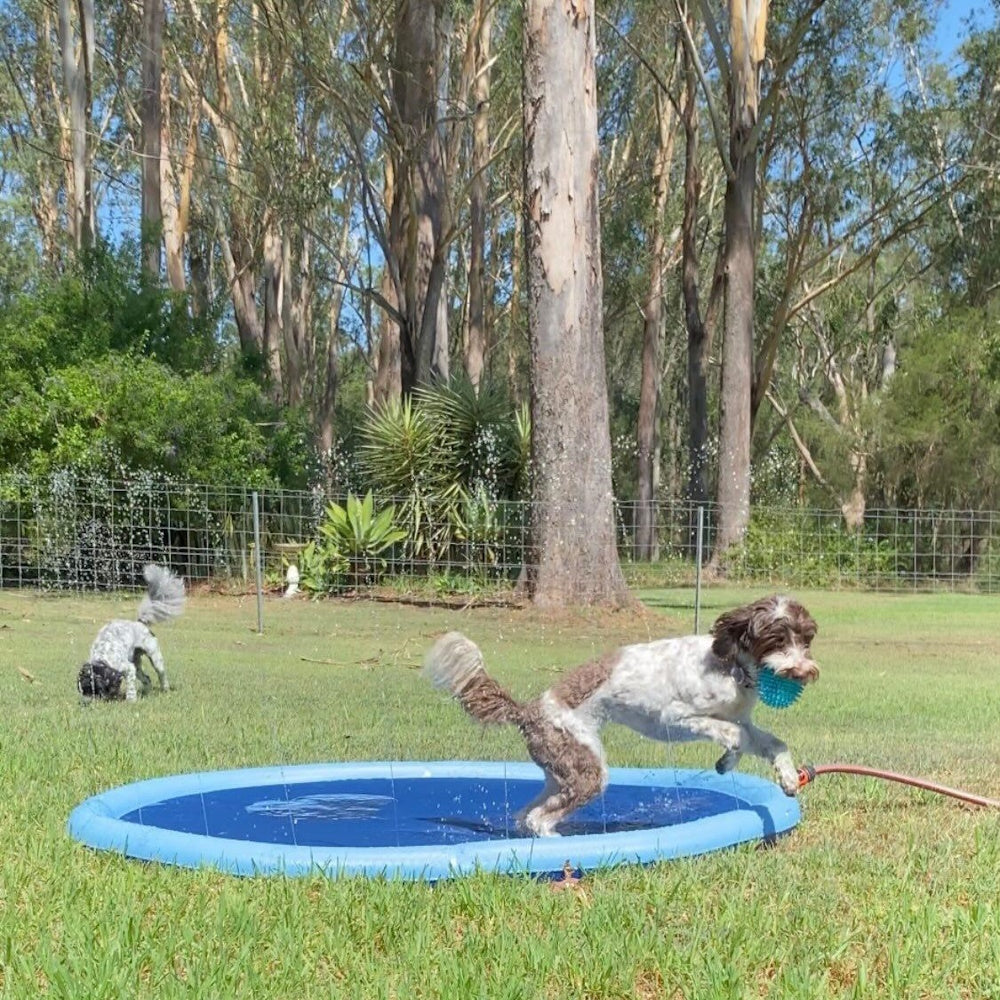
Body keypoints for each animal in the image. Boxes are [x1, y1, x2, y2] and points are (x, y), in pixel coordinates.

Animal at [79, 568, 187, 700]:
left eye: (93, 691)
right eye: (82, 690)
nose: (84, 702)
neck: (102, 656)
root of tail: (140, 622)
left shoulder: (128, 668)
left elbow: (130, 688)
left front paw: (131, 700)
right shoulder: (129, 668)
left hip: (155, 658)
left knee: (161, 675)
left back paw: (165, 689)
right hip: (136, 663)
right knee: (147, 679)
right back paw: (146, 692)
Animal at [422, 596, 820, 840]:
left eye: (806, 640)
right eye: (776, 638)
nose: (805, 671)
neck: (731, 667)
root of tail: (529, 710)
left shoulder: (744, 720)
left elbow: (770, 742)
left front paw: (787, 777)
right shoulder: (677, 717)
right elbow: (733, 734)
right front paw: (728, 758)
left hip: (564, 771)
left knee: (526, 815)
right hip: (586, 769)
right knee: (538, 819)